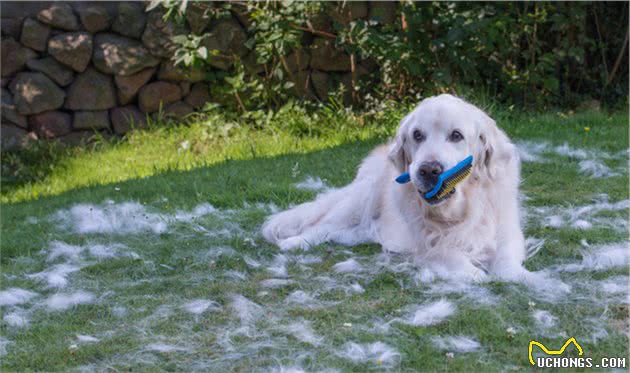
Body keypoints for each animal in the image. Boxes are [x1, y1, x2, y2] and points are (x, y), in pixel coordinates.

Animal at [262, 93, 540, 282]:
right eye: (417, 135)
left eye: (456, 135)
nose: (429, 170)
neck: (458, 209)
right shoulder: (426, 242)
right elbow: (449, 254)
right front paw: (474, 271)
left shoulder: (507, 230)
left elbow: (506, 261)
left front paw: (523, 276)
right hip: (361, 199)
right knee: (321, 226)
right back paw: (294, 243)